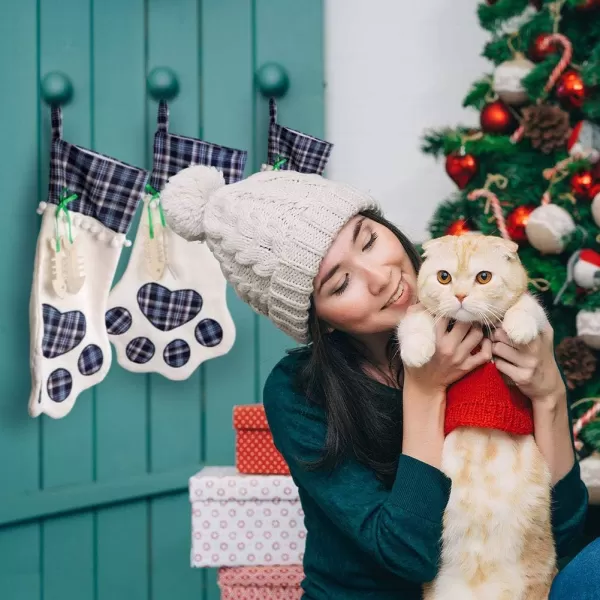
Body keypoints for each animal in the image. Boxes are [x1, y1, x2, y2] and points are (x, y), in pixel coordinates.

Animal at [396, 234, 556, 600]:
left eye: (484, 277)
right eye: (443, 277)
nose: (459, 296)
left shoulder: (537, 315)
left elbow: (529, 306)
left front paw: (519, 327)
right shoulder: (419, 313)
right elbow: (414, 322)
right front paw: (417, 350)